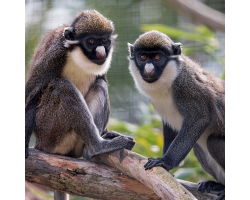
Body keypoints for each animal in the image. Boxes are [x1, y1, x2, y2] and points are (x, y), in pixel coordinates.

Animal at [25, 9, 135, 200]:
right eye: (91, 42)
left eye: (104, 41)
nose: (101, 53)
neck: (76, 54)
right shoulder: (55, 52)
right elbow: (32, 92)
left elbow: (101, 79)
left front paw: (108, 133)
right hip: (49, 130)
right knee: (62, 86)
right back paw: (96, 147)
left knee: (99, 84)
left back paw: (93, 147)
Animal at [128, 30, 226, 200]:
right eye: (143, 57)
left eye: (157, 57)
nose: (148, 69)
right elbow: (170, 127)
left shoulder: (187, 88)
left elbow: (199, 118)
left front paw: (166, 161)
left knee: (213, 142)